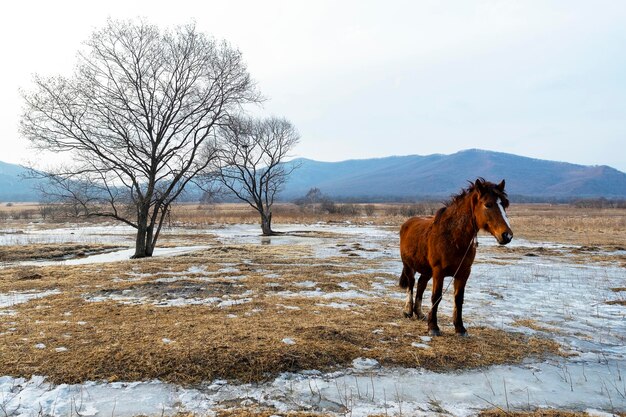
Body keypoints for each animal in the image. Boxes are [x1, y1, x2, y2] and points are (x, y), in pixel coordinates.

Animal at [400, 177, 512, 336]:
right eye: (488, 205)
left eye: (505, 204)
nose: (507, 235)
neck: (453, 237)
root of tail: (407, 223)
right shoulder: (439, 271)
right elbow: (436, 296)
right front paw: (433, 327)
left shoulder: (463, 272)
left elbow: (458, 298)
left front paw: (460, 328)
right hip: (409, 266)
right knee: (411, 284)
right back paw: (408, 311)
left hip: (427, 270)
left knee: (421, 285)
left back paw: (420, 313)